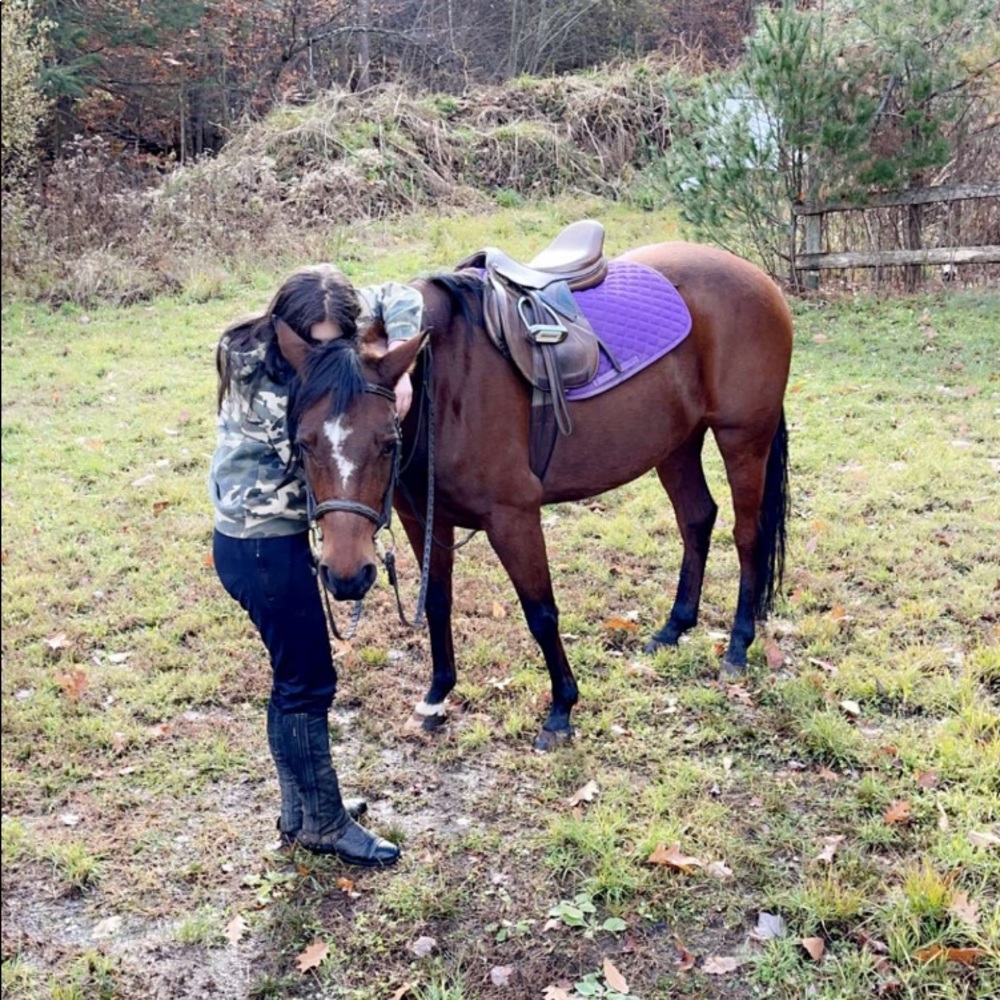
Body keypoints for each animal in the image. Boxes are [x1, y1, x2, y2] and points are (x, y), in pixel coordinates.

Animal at [278, 240, 793, 750]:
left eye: (387, 442)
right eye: (303, 442)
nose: (346, 577)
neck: (445, 383)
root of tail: (755, 277)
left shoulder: (513, 516)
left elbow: (541, 612)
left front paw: (561, 709)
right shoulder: (423, 519)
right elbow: (438, 602)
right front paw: (437, 697)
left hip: (743, 440)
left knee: (747, 535)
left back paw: (738, 645)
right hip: (676, 444)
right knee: (697, 519)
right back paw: (673, 627)